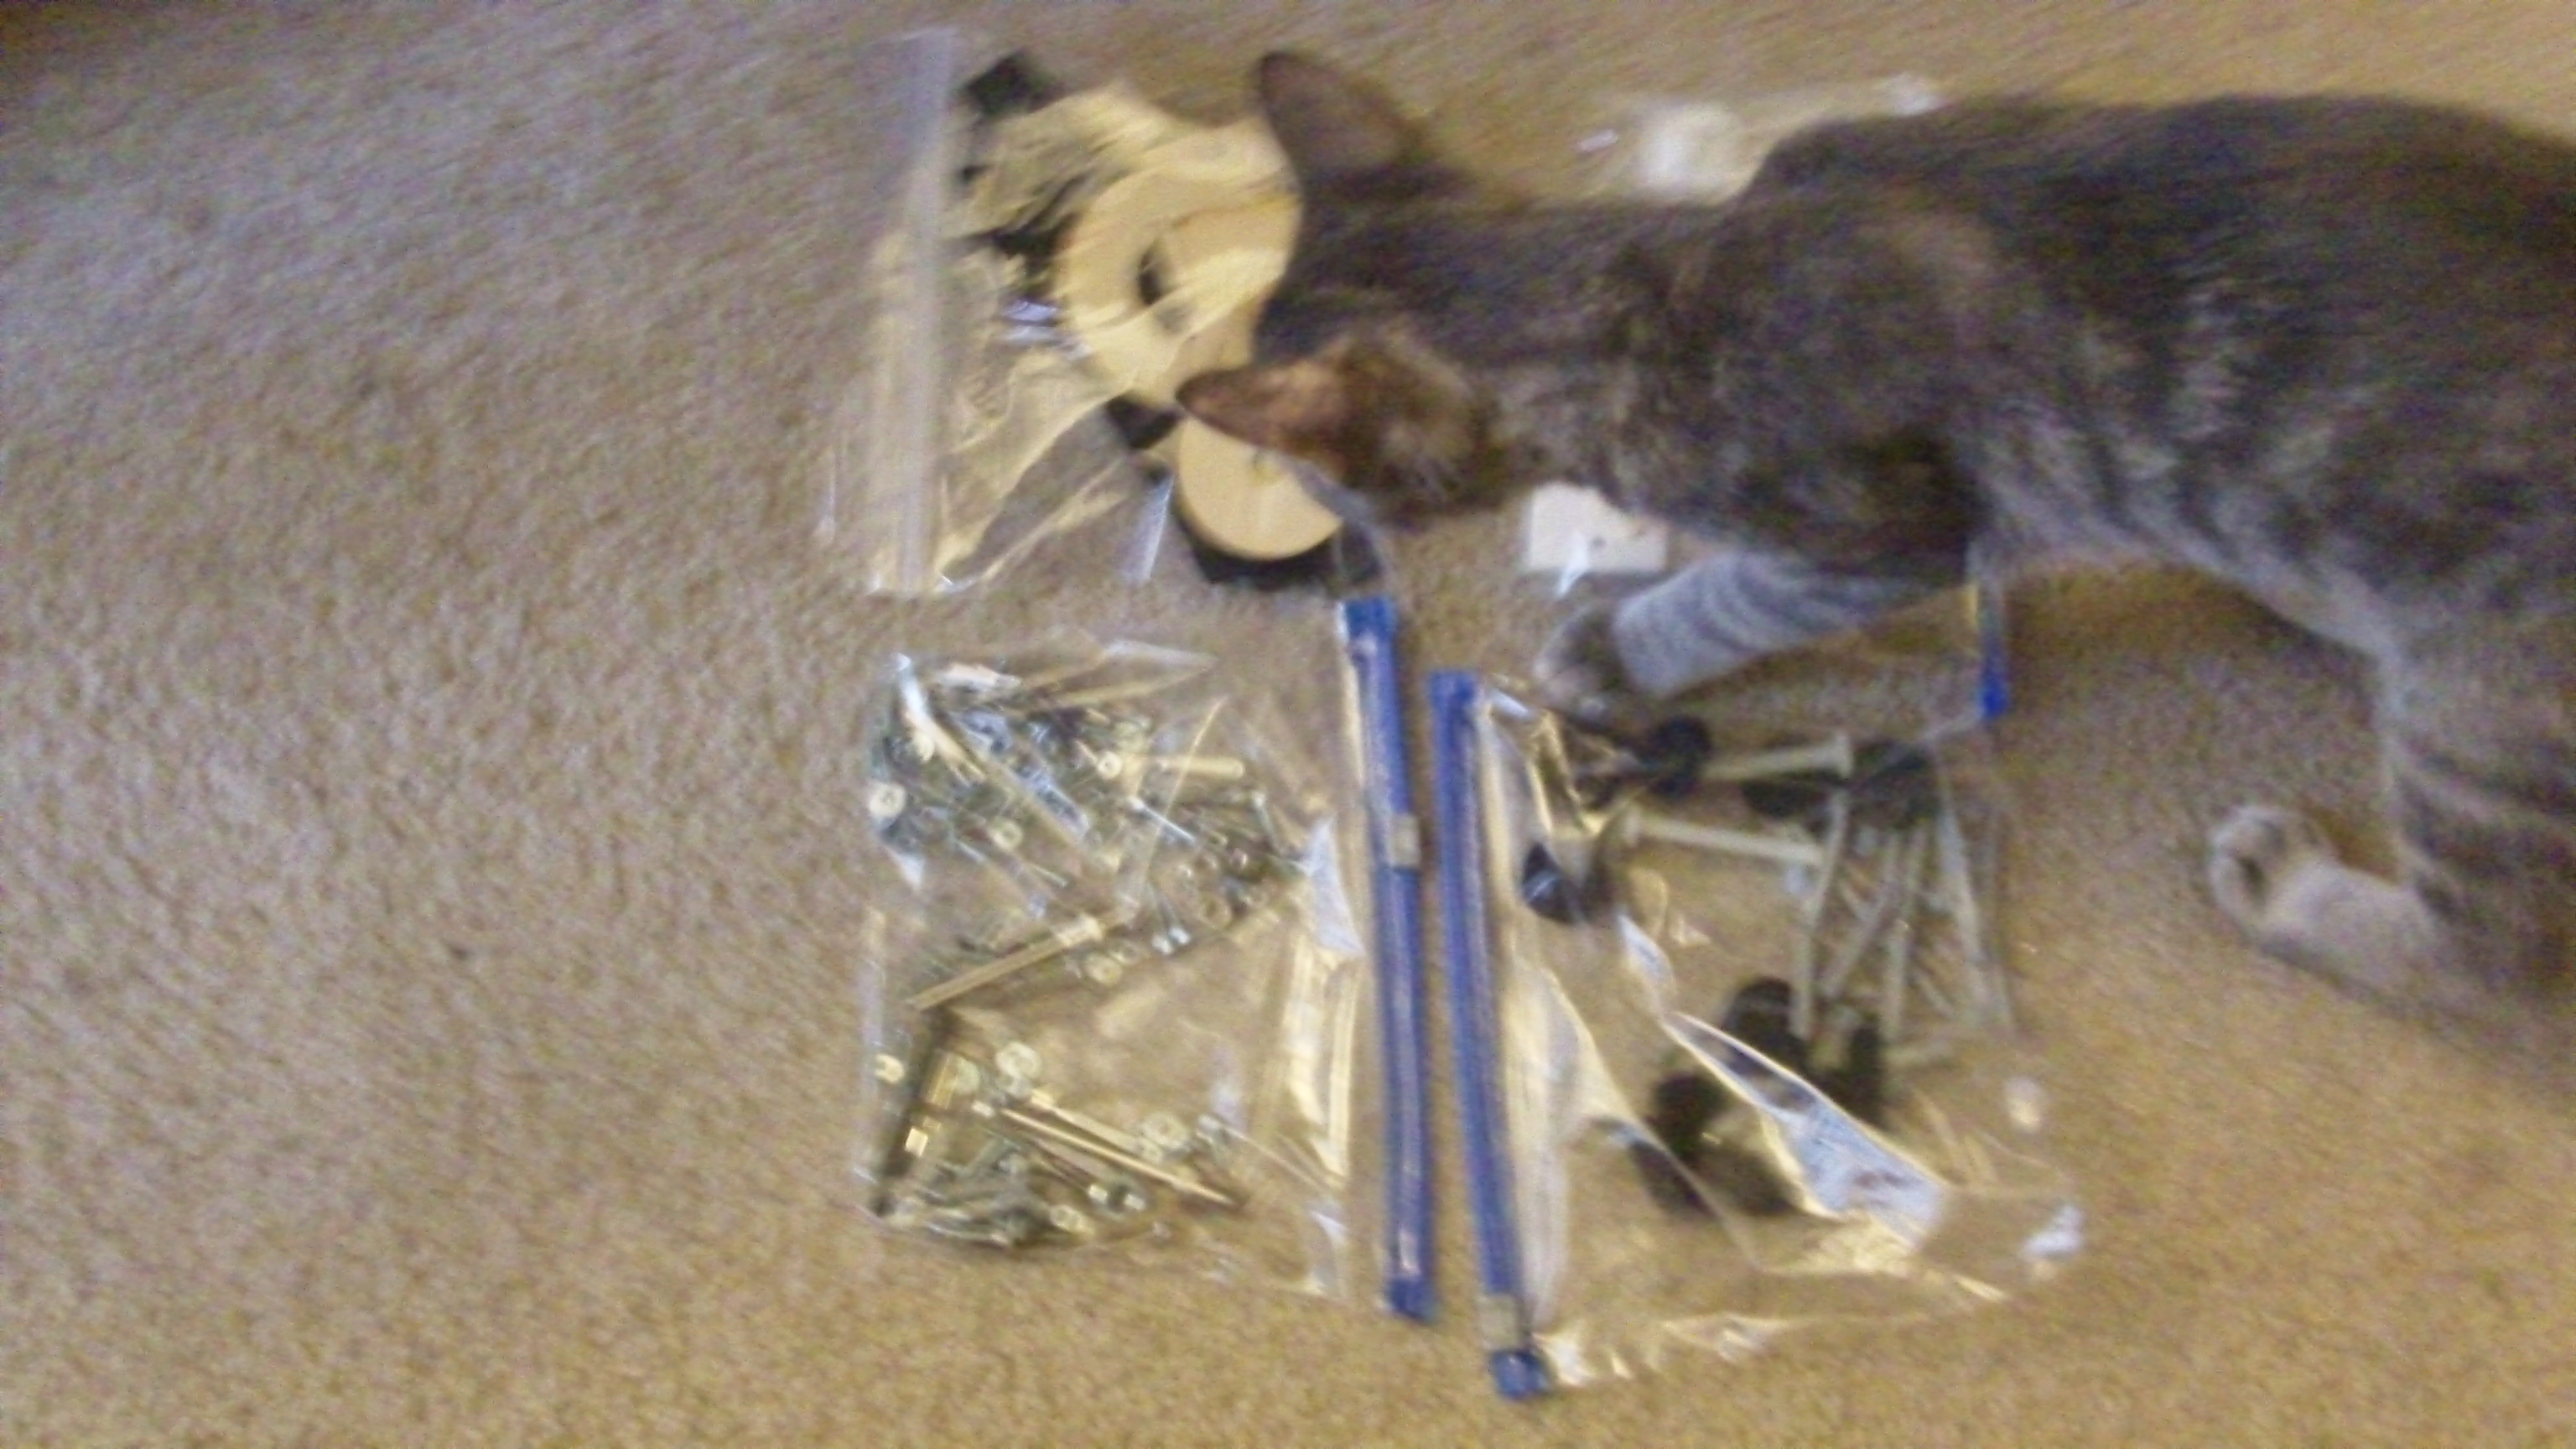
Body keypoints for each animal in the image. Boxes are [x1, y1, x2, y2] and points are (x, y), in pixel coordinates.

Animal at [1177, 54, 2576, 1050]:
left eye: (1299, 468)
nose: (1302, 500)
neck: (1644, 283)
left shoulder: (1877, 536)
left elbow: (1720, 600)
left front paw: (1612, 647)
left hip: (2483, 714)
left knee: (2493, 965)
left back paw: (2297, 889)